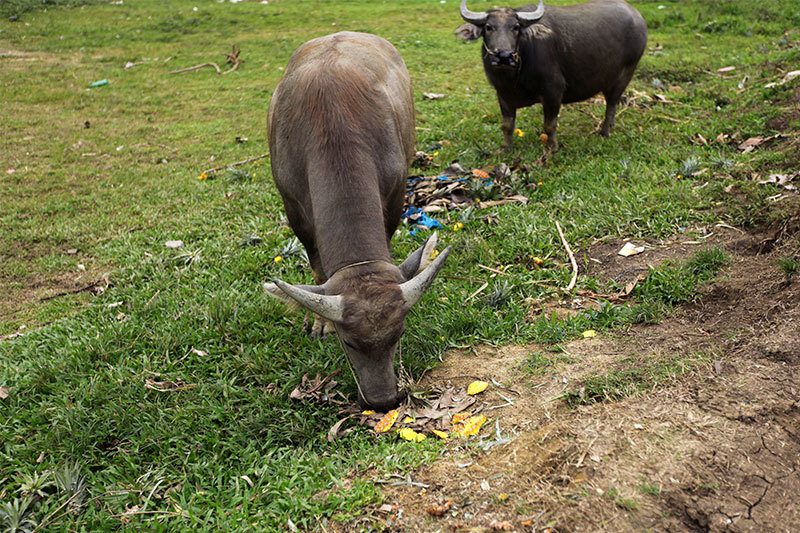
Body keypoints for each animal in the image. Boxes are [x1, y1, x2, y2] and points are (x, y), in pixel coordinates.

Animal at [266, 31, 454, 410]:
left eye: (400, 333)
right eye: (348, 341)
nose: (382, 400)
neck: (332, 122)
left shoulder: (395, 196)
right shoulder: (293, 209)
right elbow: (317, 267)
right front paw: (318, 324)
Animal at [454, 0, 648, 151]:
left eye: (516, 27)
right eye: (488, 27)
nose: (504, 55)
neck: (513, 79)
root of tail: (637, 17)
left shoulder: (553, 92)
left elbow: (549, 125)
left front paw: (551, 148)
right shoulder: (503, 95)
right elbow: (507, 125)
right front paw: (505, 148)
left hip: (625, 75)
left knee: (611, 104)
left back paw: (604, 132)